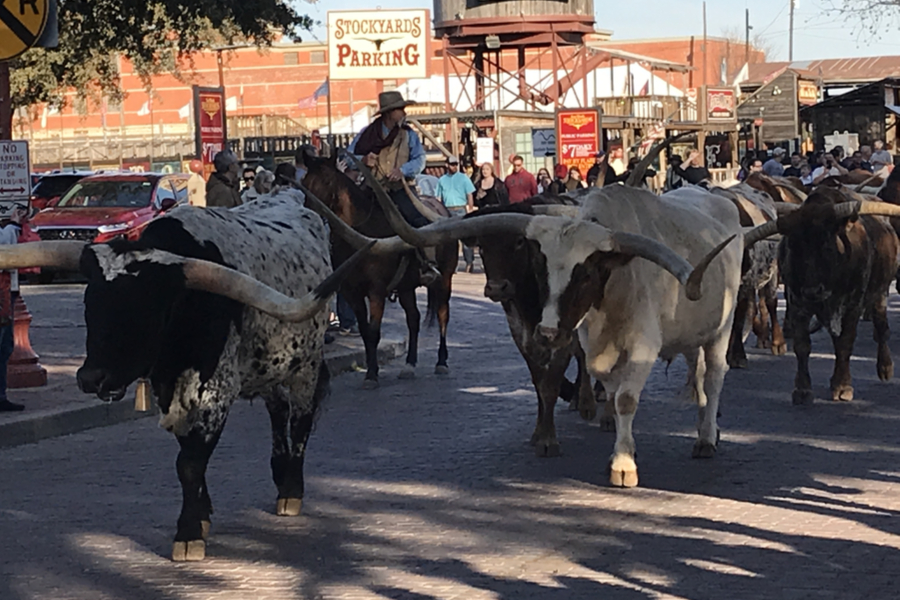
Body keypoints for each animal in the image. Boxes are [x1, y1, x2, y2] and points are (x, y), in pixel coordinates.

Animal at [304, 156, 458, 390]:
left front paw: (371, 375)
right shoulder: (352, 293)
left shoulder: (376, 291)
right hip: (406, 288)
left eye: (327, 182)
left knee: (442, 314)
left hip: (445, 279)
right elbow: (366, 331)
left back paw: (441, 361)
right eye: (305, 181)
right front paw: (371, 369)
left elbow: (374, 331)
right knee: (413, 319)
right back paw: (409, 365)